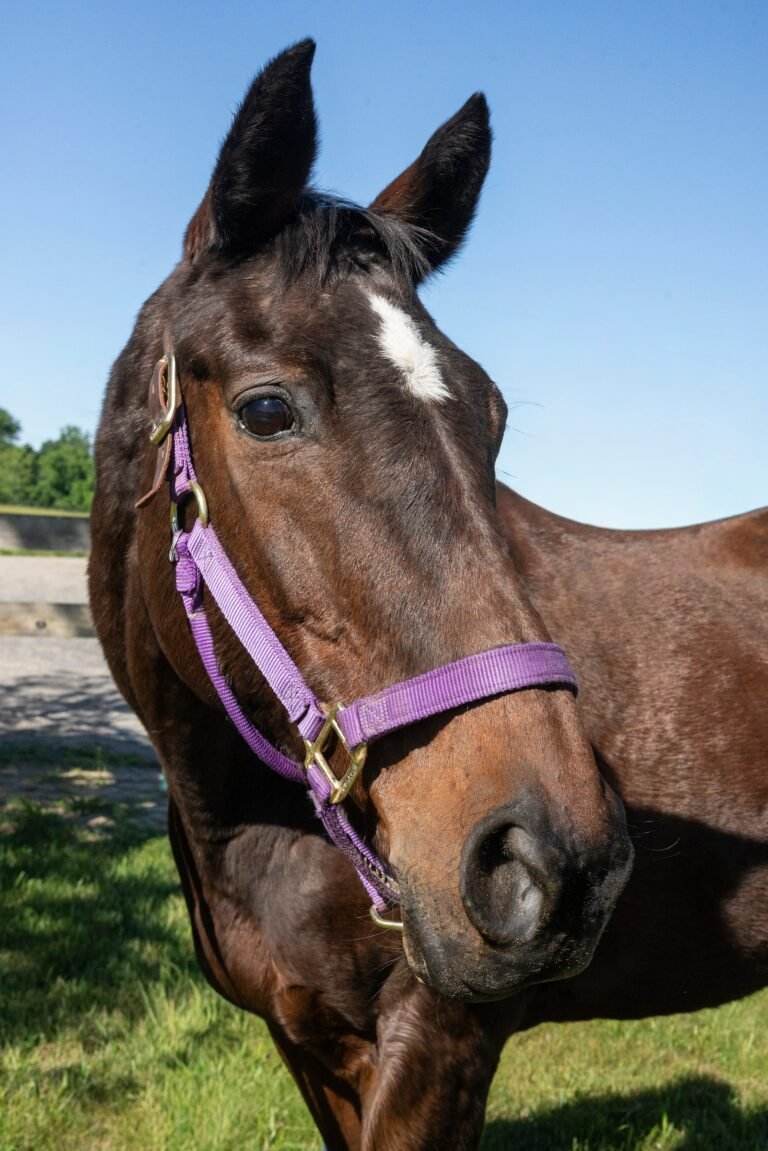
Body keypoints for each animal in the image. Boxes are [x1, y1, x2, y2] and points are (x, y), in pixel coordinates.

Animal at [89, 39, 768, 1151]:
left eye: (492, 417)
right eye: (266, 409)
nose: (555, 861)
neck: (254, 820)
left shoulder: (438, 1043)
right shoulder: (309, 1042)